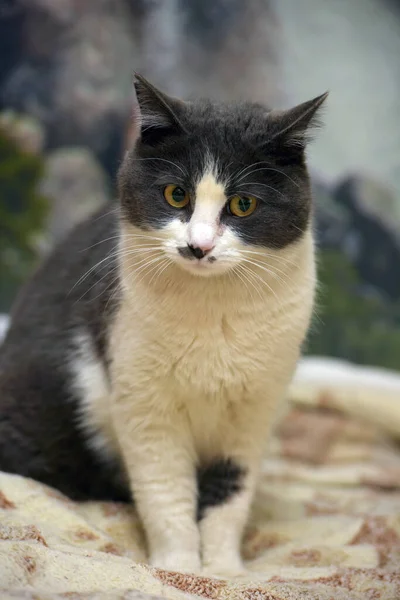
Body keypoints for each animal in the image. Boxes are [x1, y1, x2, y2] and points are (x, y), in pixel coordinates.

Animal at [0, 75, 326, 576]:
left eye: (243, 204)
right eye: (177, 195)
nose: (198, 245)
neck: (212, 313)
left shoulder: (252, 411)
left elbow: (230, 495)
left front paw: (225, 570)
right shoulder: (146, 404)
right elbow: (166, 492)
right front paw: (181, 569)